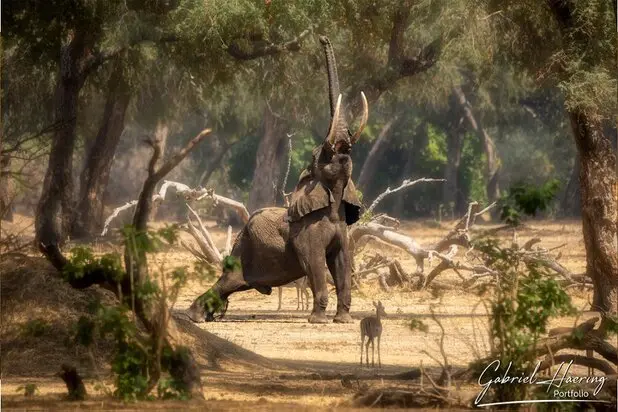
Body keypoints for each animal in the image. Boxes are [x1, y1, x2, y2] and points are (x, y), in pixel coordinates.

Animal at [185, 35, 368, 324]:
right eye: (323, 154)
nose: (323, 38)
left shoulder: (342, 230)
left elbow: (342, 263)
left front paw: (343, 321)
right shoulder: (307, 232)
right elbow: (315, 263)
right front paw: (317, 321)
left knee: (230, 285)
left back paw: (205, 315)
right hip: (243, 251)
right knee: (228, 281)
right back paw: (194, 316)